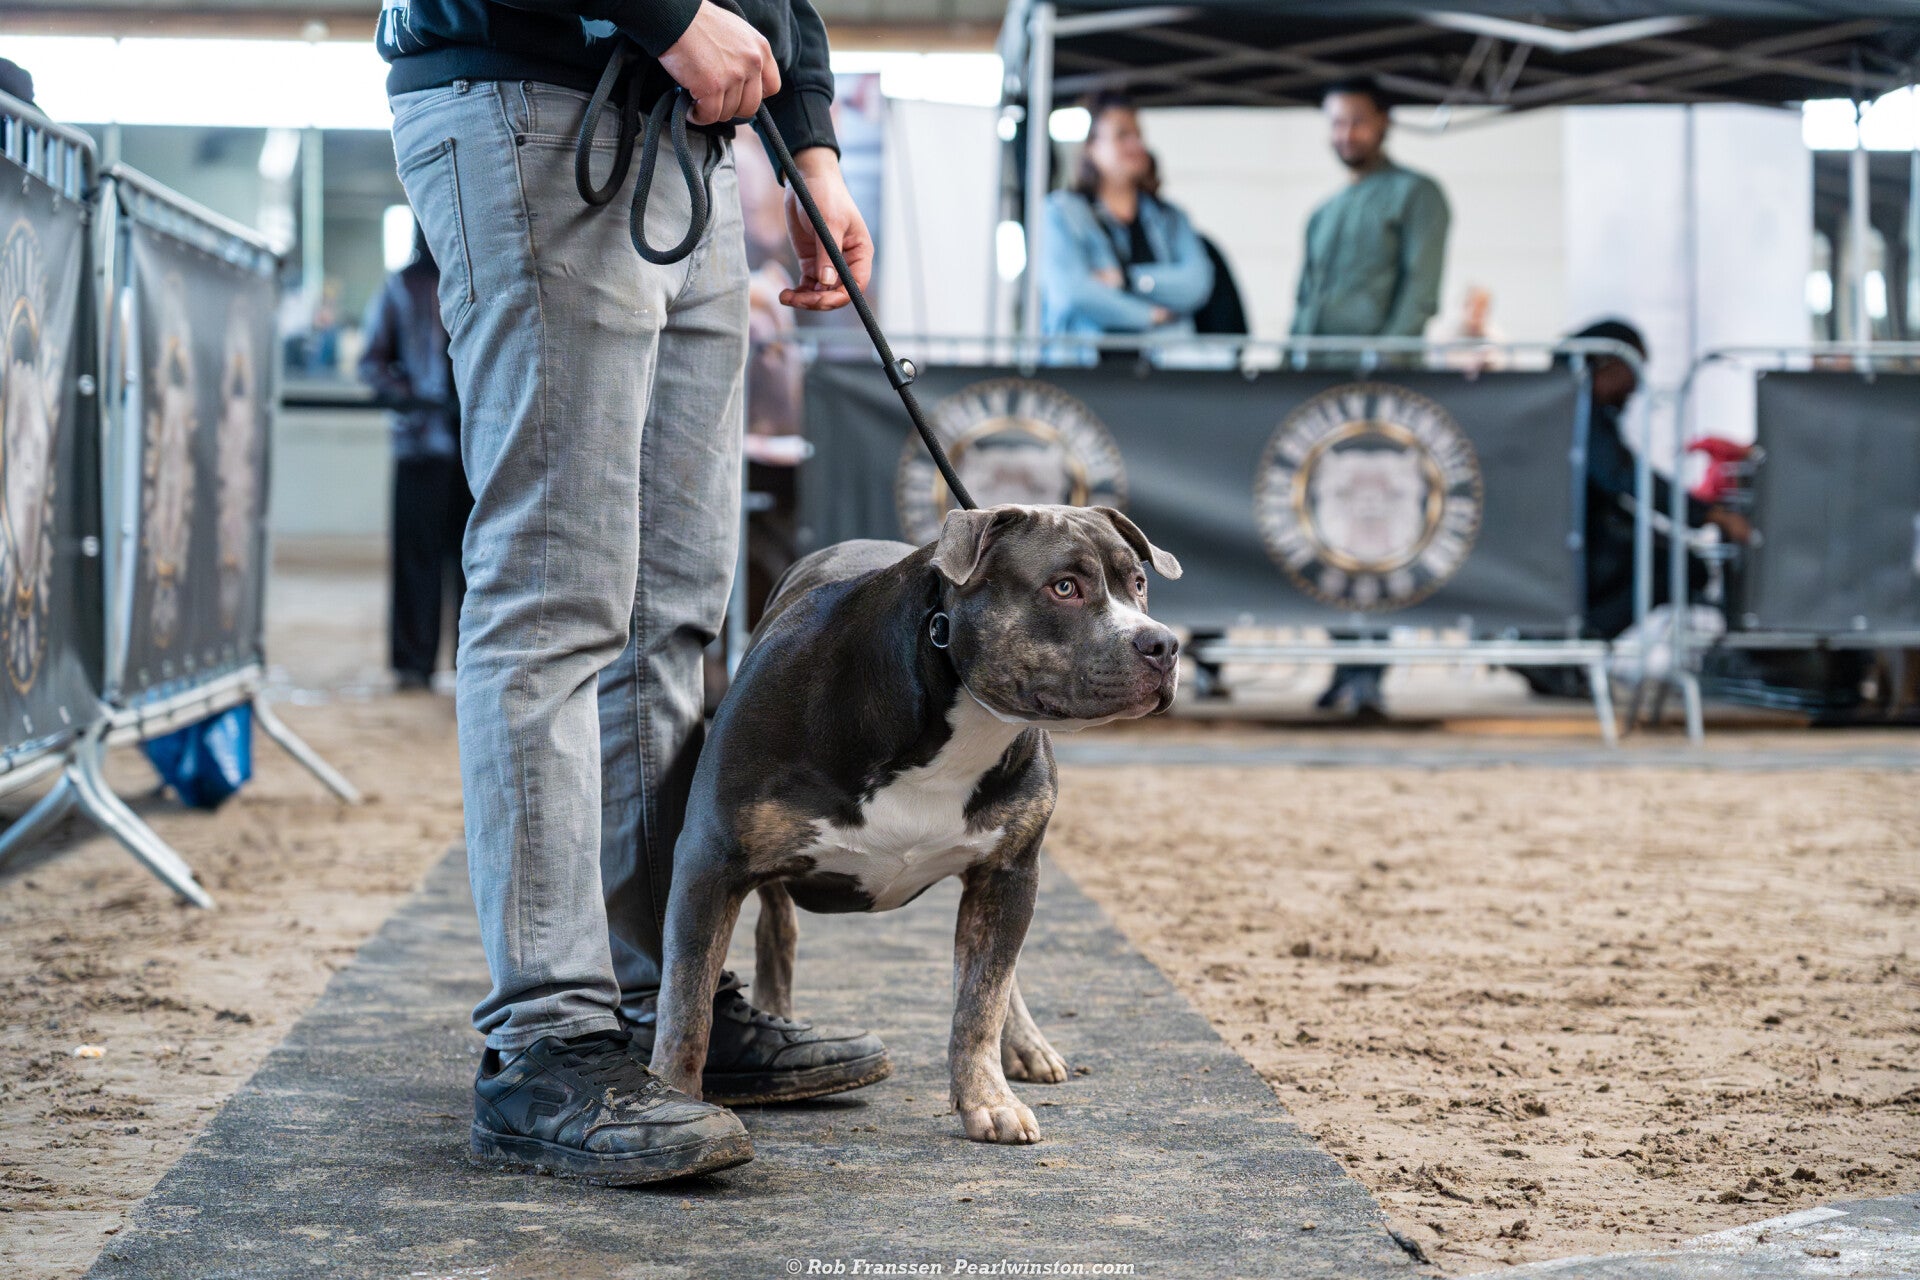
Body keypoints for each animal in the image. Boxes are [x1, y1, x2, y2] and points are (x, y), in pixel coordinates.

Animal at [649, 503, 1182, 1144]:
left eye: (1139, 583)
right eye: (1064, 587)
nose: (1164, 643)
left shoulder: (1009, 872)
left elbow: (981, 999)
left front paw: (987, 1099)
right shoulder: (709, 863)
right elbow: (687, 1005)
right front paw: (676, 1101)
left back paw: (1024, 1044)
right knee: (776, 930)